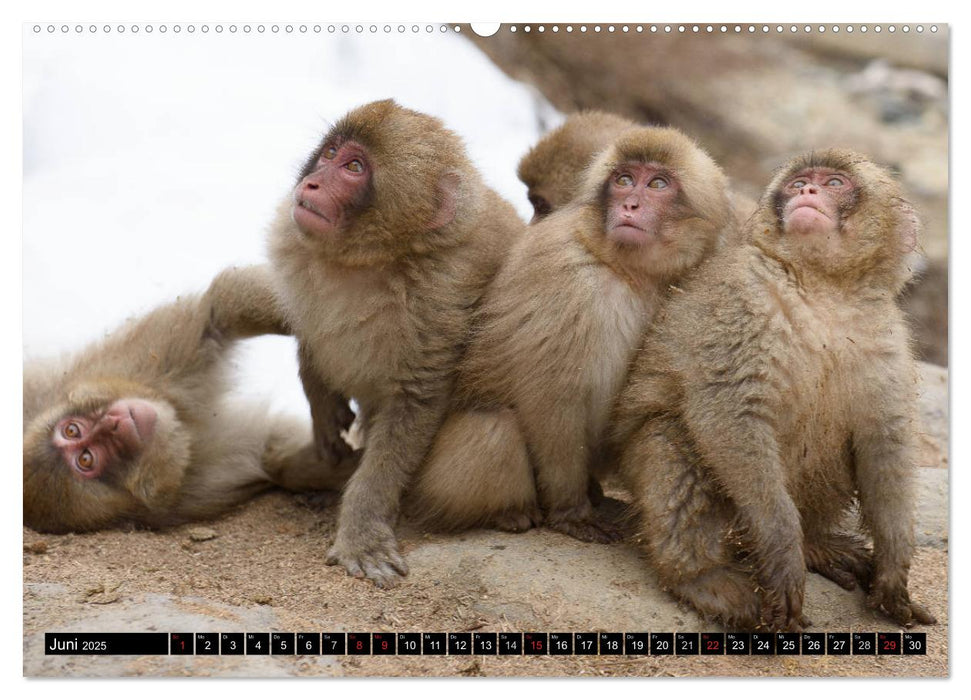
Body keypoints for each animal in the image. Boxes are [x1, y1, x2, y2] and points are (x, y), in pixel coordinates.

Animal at [23, 266, 356, 532]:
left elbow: (217, 312)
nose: (113, 424)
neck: (180, 428)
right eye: (86, 459)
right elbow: (274, 459)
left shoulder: (132, 365)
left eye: (71, 430)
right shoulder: (185, 492)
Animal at [268, 98, 524, 588]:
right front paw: (321, 402)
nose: (311, 182)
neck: (375, 261)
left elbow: (414, 406)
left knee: (493, 430)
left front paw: (362, 531)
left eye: (353, 168)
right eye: (330, 153)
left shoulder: (439, 300)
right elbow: (310, 335)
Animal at [410, 124, 736, 540]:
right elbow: (553, 397)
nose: (630, 205)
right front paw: (571, 510)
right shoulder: (566, 284)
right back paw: (506, 511)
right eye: (624, 180)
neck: (623, 269)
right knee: (494, 427)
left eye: (657, 184)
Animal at [612, 150, 936, 632]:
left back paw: (815, 544)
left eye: (835, 183)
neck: (824, 288)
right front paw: (783, 548)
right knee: (671, 439)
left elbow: (884, 440)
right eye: (799, 182)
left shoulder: (886, 336)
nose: (807, 191)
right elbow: (731, 413)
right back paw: (700, 576)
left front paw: (894, 569)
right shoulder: (740, 300)